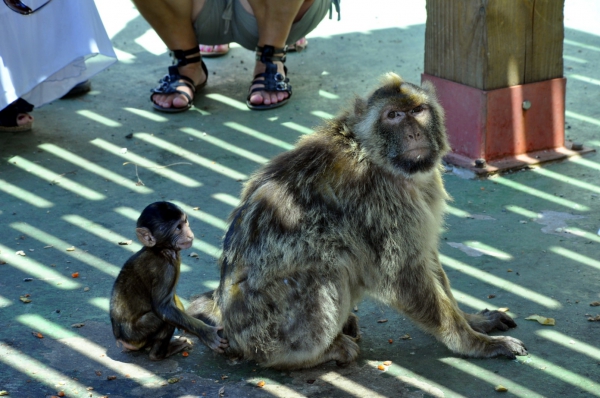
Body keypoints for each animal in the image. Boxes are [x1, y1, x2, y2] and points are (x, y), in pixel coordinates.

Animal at [109, 202, 227, 360]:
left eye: (185, 222)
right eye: (178, 228)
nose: (189, 233)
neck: (161, 249)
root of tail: (121, 339)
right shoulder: (165, 269)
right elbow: (163, 308)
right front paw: (206, 332)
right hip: (136, 335)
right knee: (163, 320)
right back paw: (159, 353)